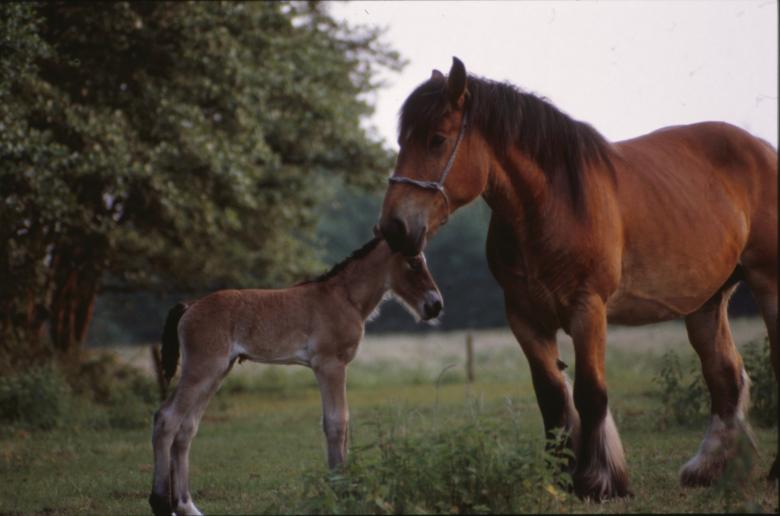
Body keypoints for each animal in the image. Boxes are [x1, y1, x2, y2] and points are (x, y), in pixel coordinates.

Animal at [148, 236, 443, 516]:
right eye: (413, 261)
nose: (435, 305)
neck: (343, 298)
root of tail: (190, 307)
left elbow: (339, 423)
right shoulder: (330, 365)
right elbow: (336, 423)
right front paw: (342, 490)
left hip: (216, 373)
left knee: (187, 428)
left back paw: (187, 506)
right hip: (202, 370)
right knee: (167, 419)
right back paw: (161, 503)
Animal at [378, 57, 777, 501]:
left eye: (437, 139)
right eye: (402, 140)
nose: (394, 227)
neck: (552, 205)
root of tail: (762, 149)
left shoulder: (588, 310)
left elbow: (590, 393)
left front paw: (599, 479)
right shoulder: (524, 317)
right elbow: (552, 397)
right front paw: (560, 476)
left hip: (768, 284)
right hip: (707, 302)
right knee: (725, 376)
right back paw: (709, 468)